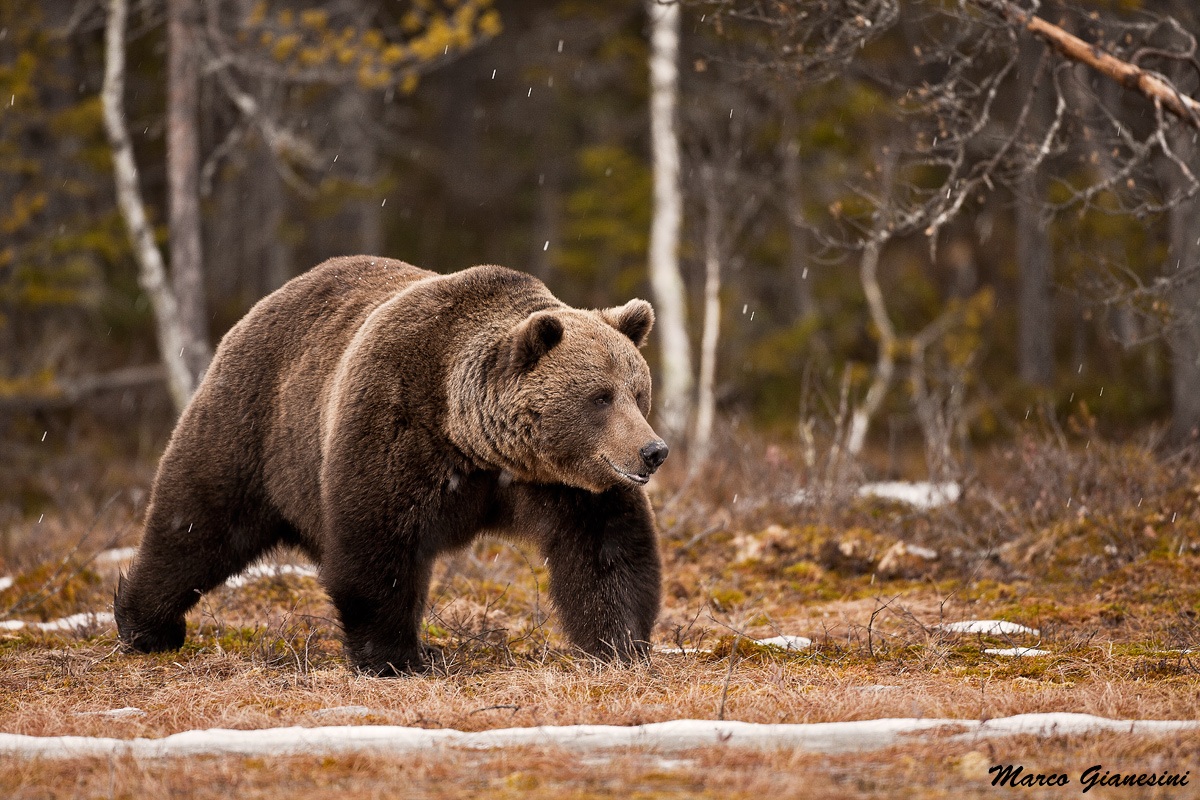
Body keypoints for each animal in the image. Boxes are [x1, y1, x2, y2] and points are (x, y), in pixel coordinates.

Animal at [113, 256, 669, 674]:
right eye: (600, 397)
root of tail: (265, 302)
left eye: (638, 392)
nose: (653, 451)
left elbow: (607, 552)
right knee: (198, 520)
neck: (479, 443)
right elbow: (379, 543)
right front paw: (394, 657)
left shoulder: (564, 485)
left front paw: (620, 644)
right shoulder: (397, 422)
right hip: (257, 425)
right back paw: (146, 624)